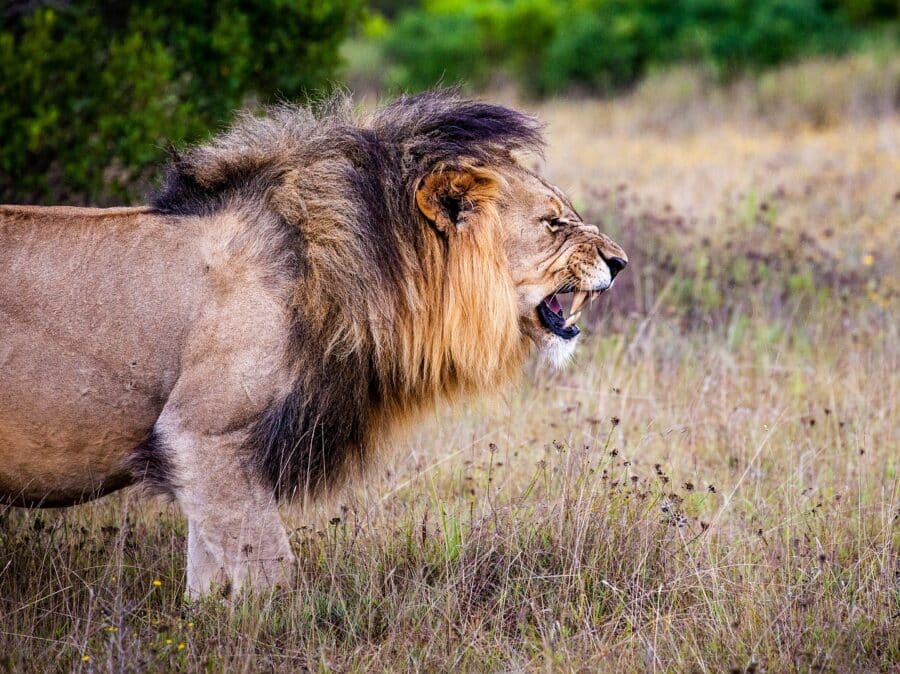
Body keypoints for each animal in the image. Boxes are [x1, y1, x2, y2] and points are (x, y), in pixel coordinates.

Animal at [0, 92, 626, 597]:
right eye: (553, 223)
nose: (619, 262)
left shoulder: (206, 458)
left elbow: (208, 576)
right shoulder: (200, 435)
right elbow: (269, 569)